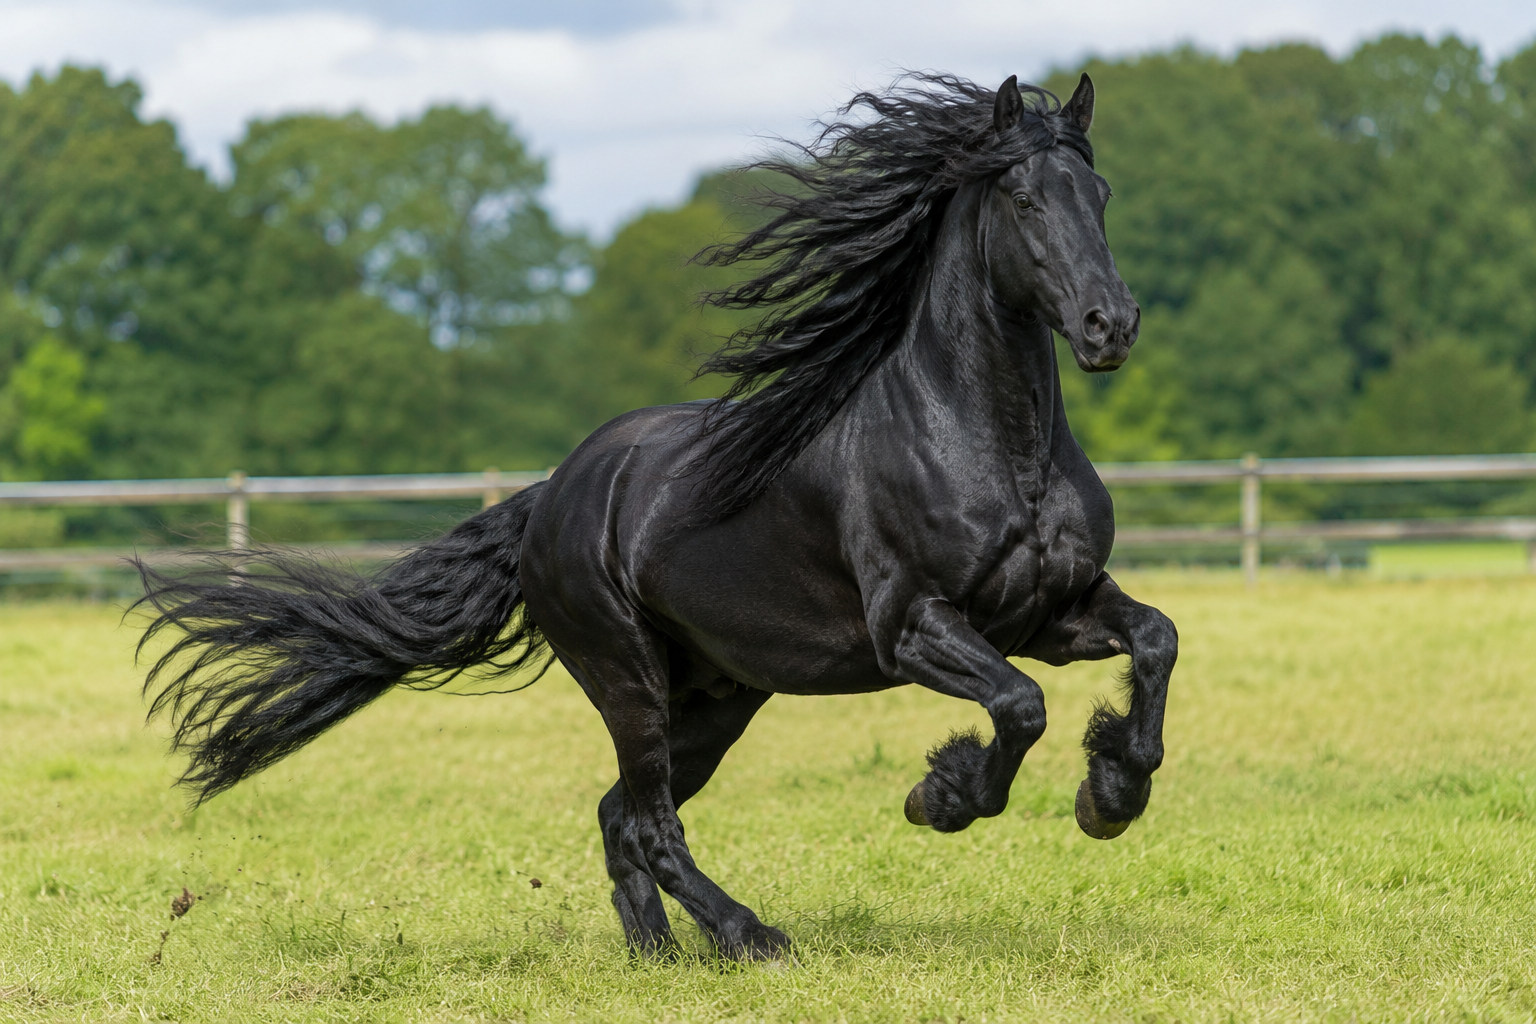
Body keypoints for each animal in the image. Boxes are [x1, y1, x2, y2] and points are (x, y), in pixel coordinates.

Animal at [135, 72, 1176, 962]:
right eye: (1026, 200)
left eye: (1102, 194)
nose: (1110, 326)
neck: (992, 444)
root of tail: (551, 498)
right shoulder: (914, 626)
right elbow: (1019, 705)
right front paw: (943, 794)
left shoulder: (1048, 611)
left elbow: (1153, 640)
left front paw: (1111, 793)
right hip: (627, 678)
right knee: (651, 820)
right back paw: (750, 937)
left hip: (717, 698)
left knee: (622, 817)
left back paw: (657, 953)